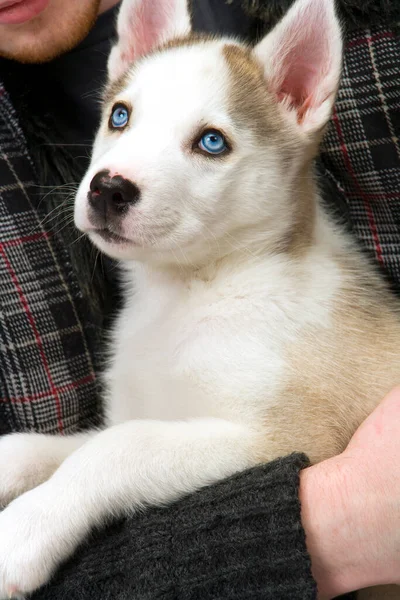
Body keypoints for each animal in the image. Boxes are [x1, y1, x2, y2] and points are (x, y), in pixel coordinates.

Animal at [0, 0, 398, 596]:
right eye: (120, 116)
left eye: (212, 142)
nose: (108, 189)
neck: (190, 293)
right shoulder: (154, 413)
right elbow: (51, 446)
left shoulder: (283, 439)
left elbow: (116, 449)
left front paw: (23, 531)